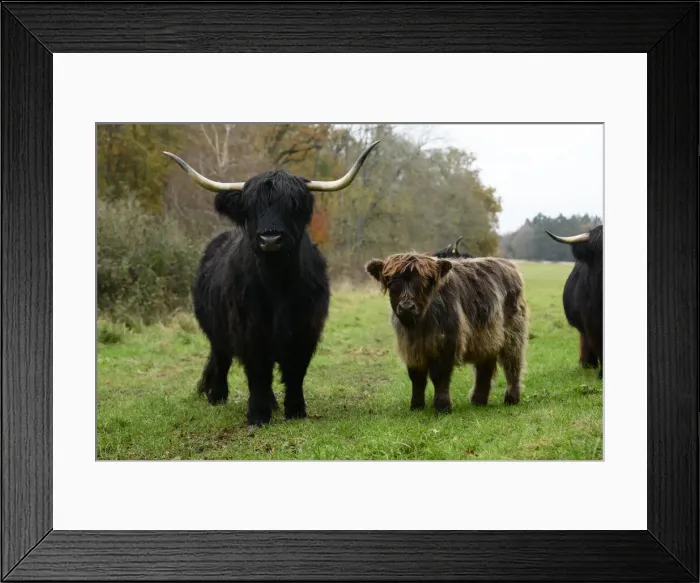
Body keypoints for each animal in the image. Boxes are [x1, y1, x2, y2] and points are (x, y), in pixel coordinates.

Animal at [163, 141, 380, 427]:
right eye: (251, 208)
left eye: (292, 207)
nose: (270, 239)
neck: (278, 285)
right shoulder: (250, 330)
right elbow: (258, 374)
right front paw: (257, 415)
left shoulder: (306, 329)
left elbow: (295, 372)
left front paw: (296, 411)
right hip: (215, 329)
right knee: (221, 359)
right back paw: (217, 397)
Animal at [365, 252, 528, 412]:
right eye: (392, 284)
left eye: (424, 283)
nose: (406, 308)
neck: (420, 326)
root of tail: (508, 265)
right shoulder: (412, 348)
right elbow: (416, 377)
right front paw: (416, 406)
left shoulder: (447, 343)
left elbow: (439, 375)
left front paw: (442, 406)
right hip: (487, 338)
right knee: (485, 368)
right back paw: (478, 401)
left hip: (513, 334)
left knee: (512, 365)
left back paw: (511, 398)